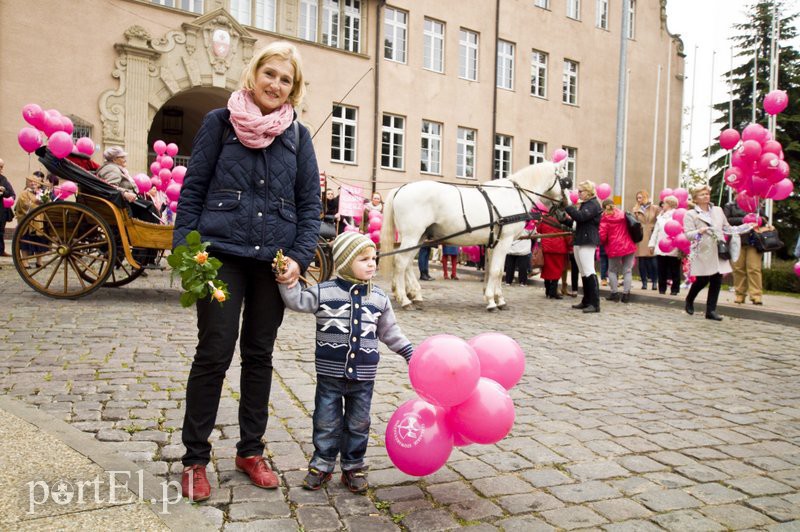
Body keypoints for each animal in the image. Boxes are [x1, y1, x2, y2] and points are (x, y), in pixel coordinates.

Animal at [380, 162, 568, 312]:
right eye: (566, 181)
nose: (566, 207)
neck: (514, 195)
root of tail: (401, 188)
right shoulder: (505, 241)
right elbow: (497, 270)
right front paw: (492, 301)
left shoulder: (494, 242)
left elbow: (494, 271)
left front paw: (497, 298)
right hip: (412, 236)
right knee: (400, 262)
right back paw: (404, 299)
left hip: (419, 237)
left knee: (407, 264)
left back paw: (415, 295)